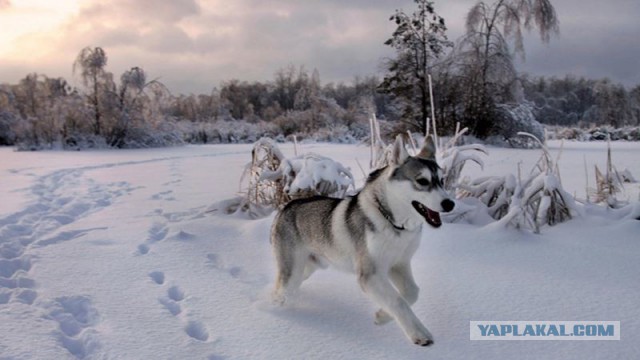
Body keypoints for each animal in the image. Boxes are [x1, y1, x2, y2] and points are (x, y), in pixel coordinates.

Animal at [270, 136, 456, 346]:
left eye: (442, 181)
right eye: (422, 181)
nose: (450, 204)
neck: (392, 222)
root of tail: (286, 207)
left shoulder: (398, 264)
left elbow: (411, 293)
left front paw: (382, 316)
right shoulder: (370, 275)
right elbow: (397, 300)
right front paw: (418, 333)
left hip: (308, 268)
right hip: (292, 272)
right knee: (282, 292)